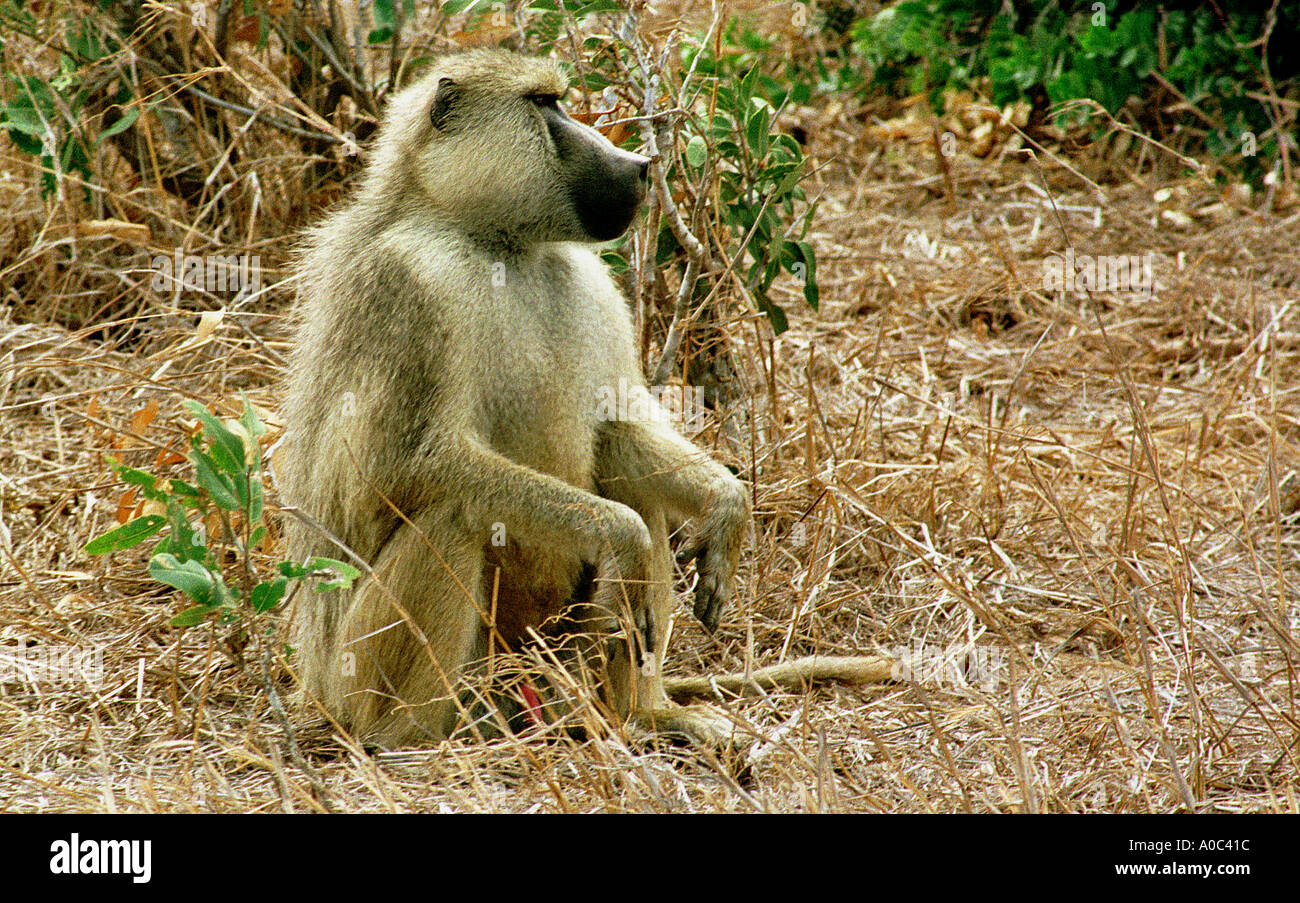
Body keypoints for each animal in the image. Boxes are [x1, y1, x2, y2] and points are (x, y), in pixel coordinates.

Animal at [280, 49, 892, 750]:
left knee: (630, 484)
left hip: (551, 654)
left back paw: (644, 715)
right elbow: (402, 468)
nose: (639, 164)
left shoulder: (590, 281)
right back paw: (419, 739)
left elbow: (613, 432)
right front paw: (622, 537)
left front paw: (726, 504)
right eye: (545, 106)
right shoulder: (406, 286)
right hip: (357, 672)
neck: (496, 242)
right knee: (455, 517)